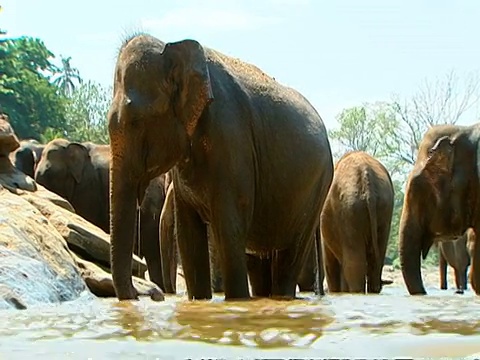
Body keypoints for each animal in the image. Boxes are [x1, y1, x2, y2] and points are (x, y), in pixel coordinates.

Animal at [108, 33, 334, 300]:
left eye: (136, 122)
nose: (144, 294)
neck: (172, 47)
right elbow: (188, 236)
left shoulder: (230, 137)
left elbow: (228, 229)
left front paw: (237, 301)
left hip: (318, 188)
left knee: (290, 256)